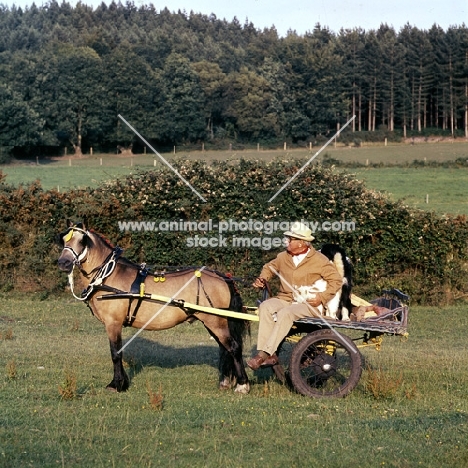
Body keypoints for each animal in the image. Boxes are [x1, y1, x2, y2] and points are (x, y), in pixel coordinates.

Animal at [57, 223, 250, 394]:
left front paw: (116, 384)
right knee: (225, 349)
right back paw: (226, 382)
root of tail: (223, 277)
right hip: (213, 321)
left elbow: (116, 353)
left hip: (215, 321)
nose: (63, 263)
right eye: (64, 240)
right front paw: (122, 383)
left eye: (82, 240)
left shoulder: (113, 323)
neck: (108, 276)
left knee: (233, 347)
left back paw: (242, 385)